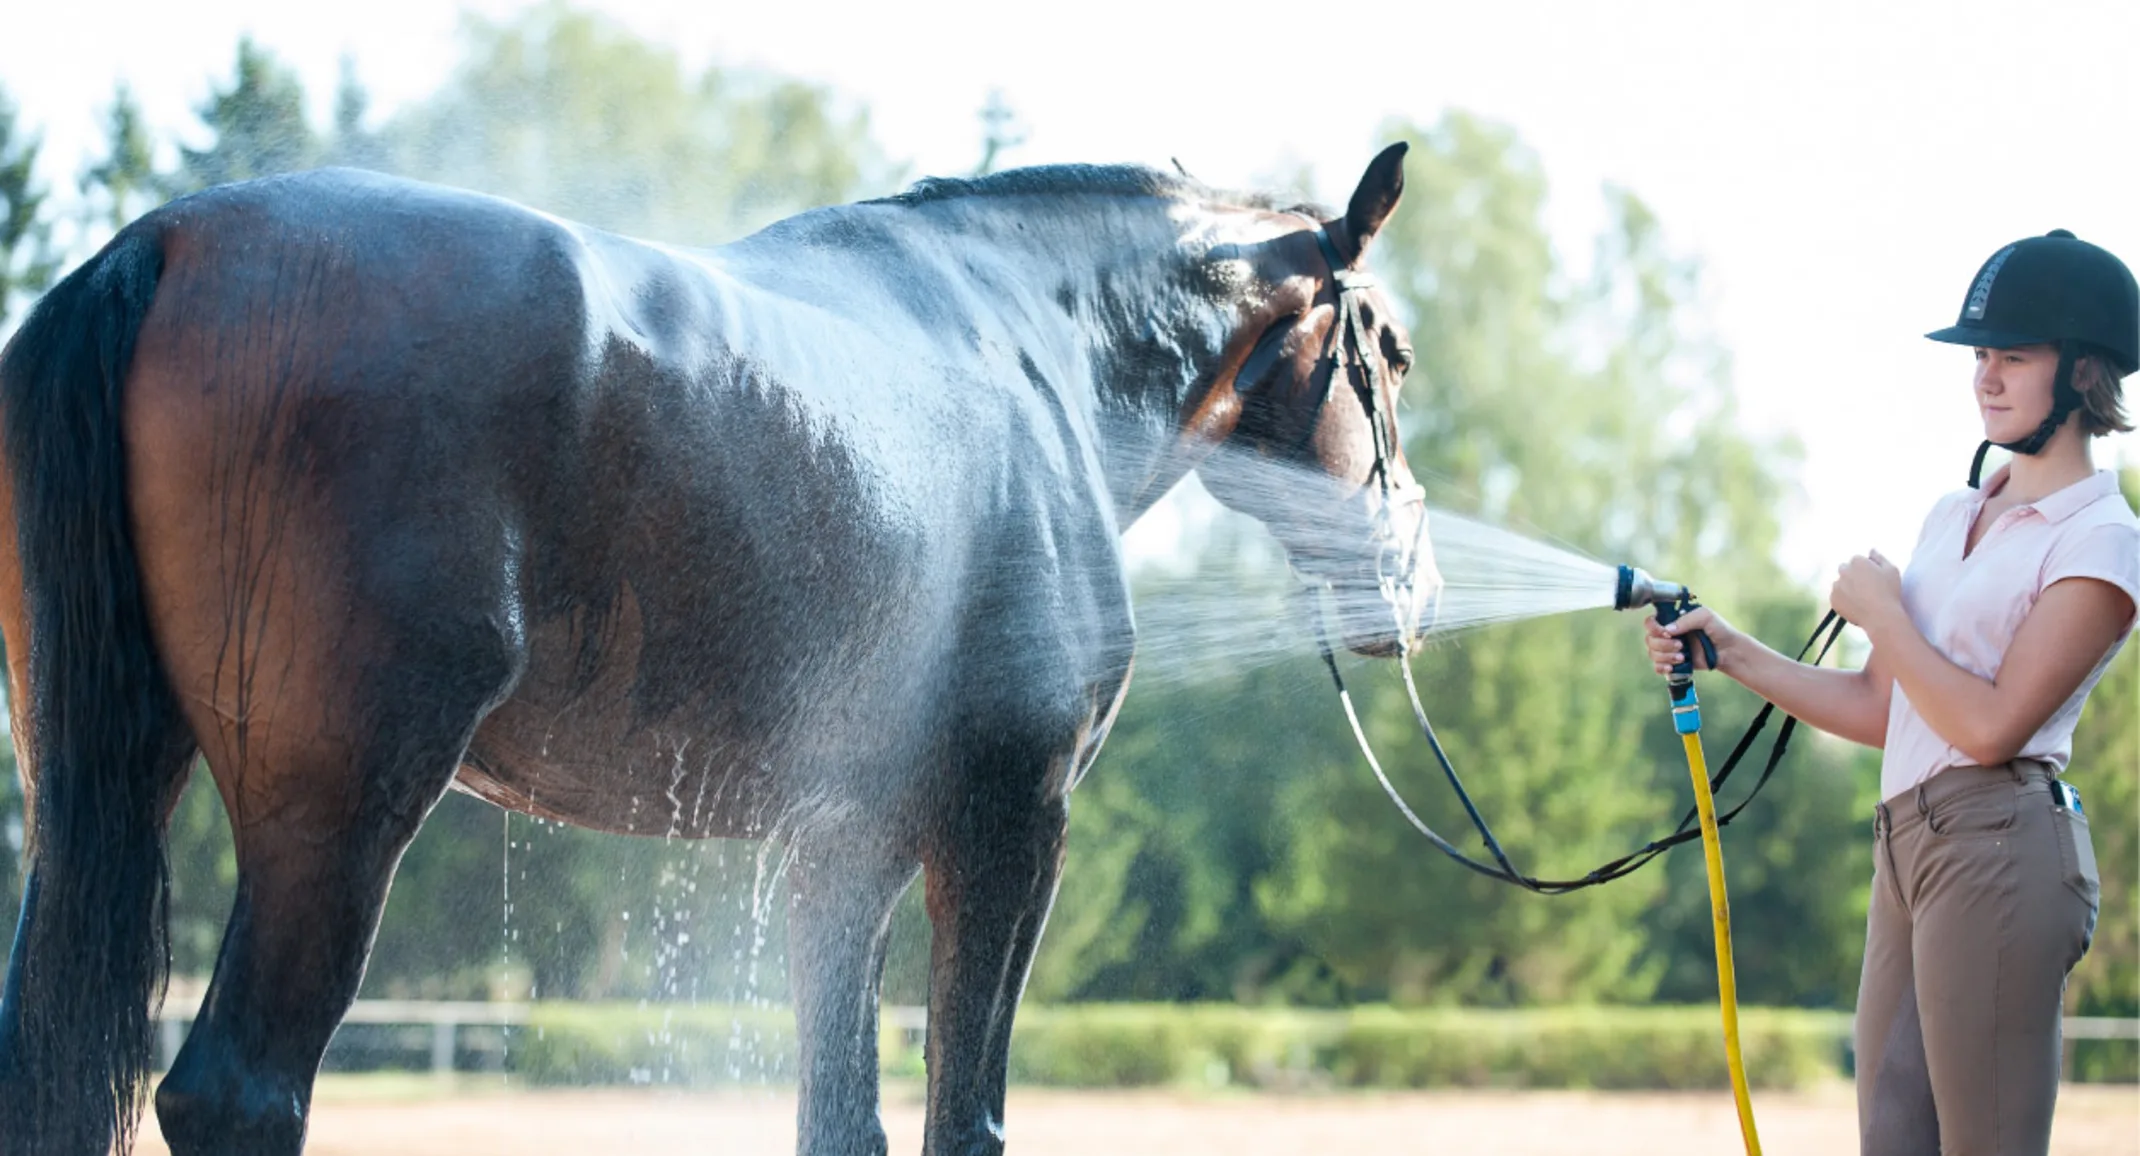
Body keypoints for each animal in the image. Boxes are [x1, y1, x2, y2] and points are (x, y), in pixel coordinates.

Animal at [0, 142, 1435, 1155]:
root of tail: (168, 242)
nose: (1413, 583)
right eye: (1396, 355)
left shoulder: (846, 843)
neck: (1038, 358)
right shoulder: (1009, 824)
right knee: (241, 1094)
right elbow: (963, 1115)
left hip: (92, 790)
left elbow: (840, 1120)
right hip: (337, 814)